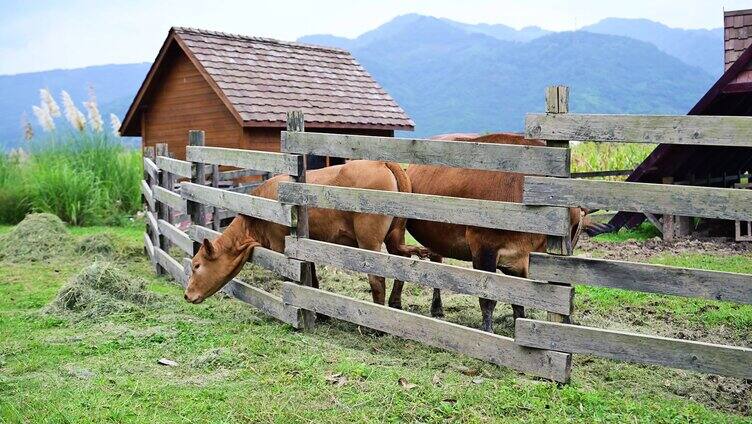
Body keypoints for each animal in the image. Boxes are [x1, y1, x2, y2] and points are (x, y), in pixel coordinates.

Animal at [184, 160, 420, 304]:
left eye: (197, 265)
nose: (186, 295)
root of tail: (380, 162)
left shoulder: (282, 245)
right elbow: (312, 279)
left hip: (369, 242)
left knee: (377, 279)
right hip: (395, 235)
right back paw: (395, 303)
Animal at [390, 134, 584, 332]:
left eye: (574, 228)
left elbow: (517, 299)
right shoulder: (484, 249)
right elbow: (488, 299)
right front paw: (488, 330)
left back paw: (437, 308)